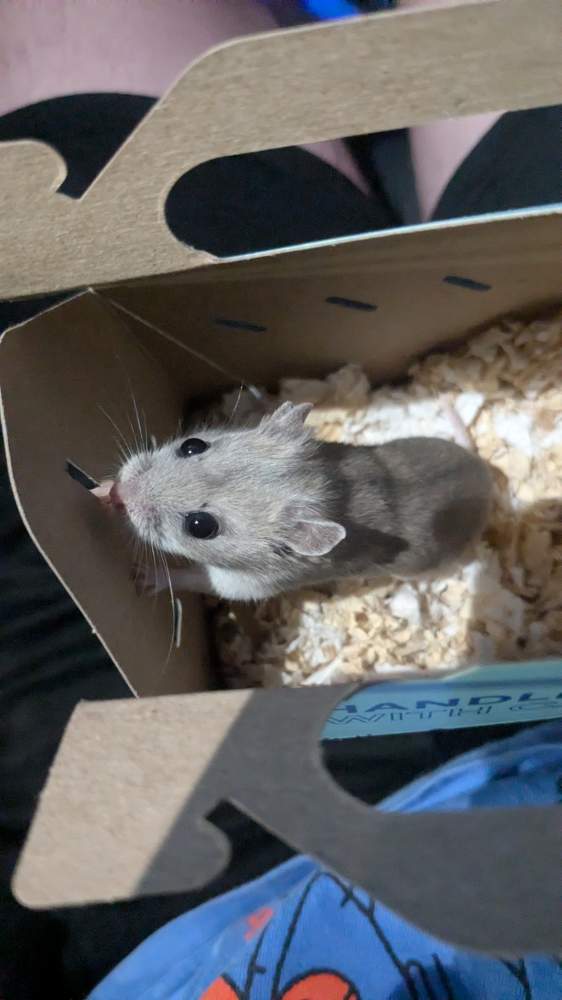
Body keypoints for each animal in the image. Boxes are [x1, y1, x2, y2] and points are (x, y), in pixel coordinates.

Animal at [98, 401, 493, 602]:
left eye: (201, 526)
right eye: (192, 445)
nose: (118, 494)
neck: (328, 486)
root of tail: (483, 471)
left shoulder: (244, 585)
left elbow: (196, 579)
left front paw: (142, 577)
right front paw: (101, 488)